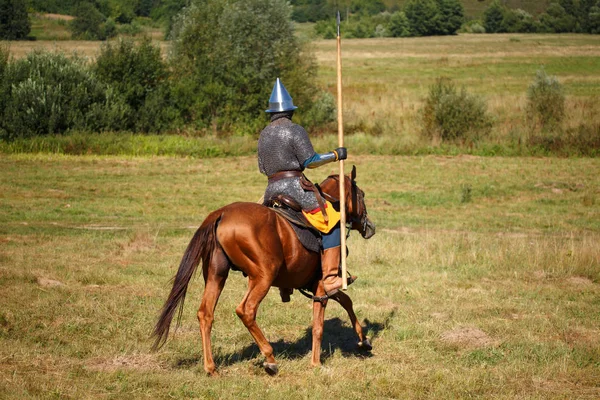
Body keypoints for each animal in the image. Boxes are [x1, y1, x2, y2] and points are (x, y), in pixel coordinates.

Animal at [151, 167, 376, 376]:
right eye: (362, 194)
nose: (370, 227)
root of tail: (221, 213)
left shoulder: (316, 285)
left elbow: (346, 301)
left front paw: (363, 341)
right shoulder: (322, 285)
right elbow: (319, 325)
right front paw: (316, 363)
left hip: (217, 275)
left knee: (205, 314)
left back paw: (211, 367)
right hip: (263, 277)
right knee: (246, 310)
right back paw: (270, 358)